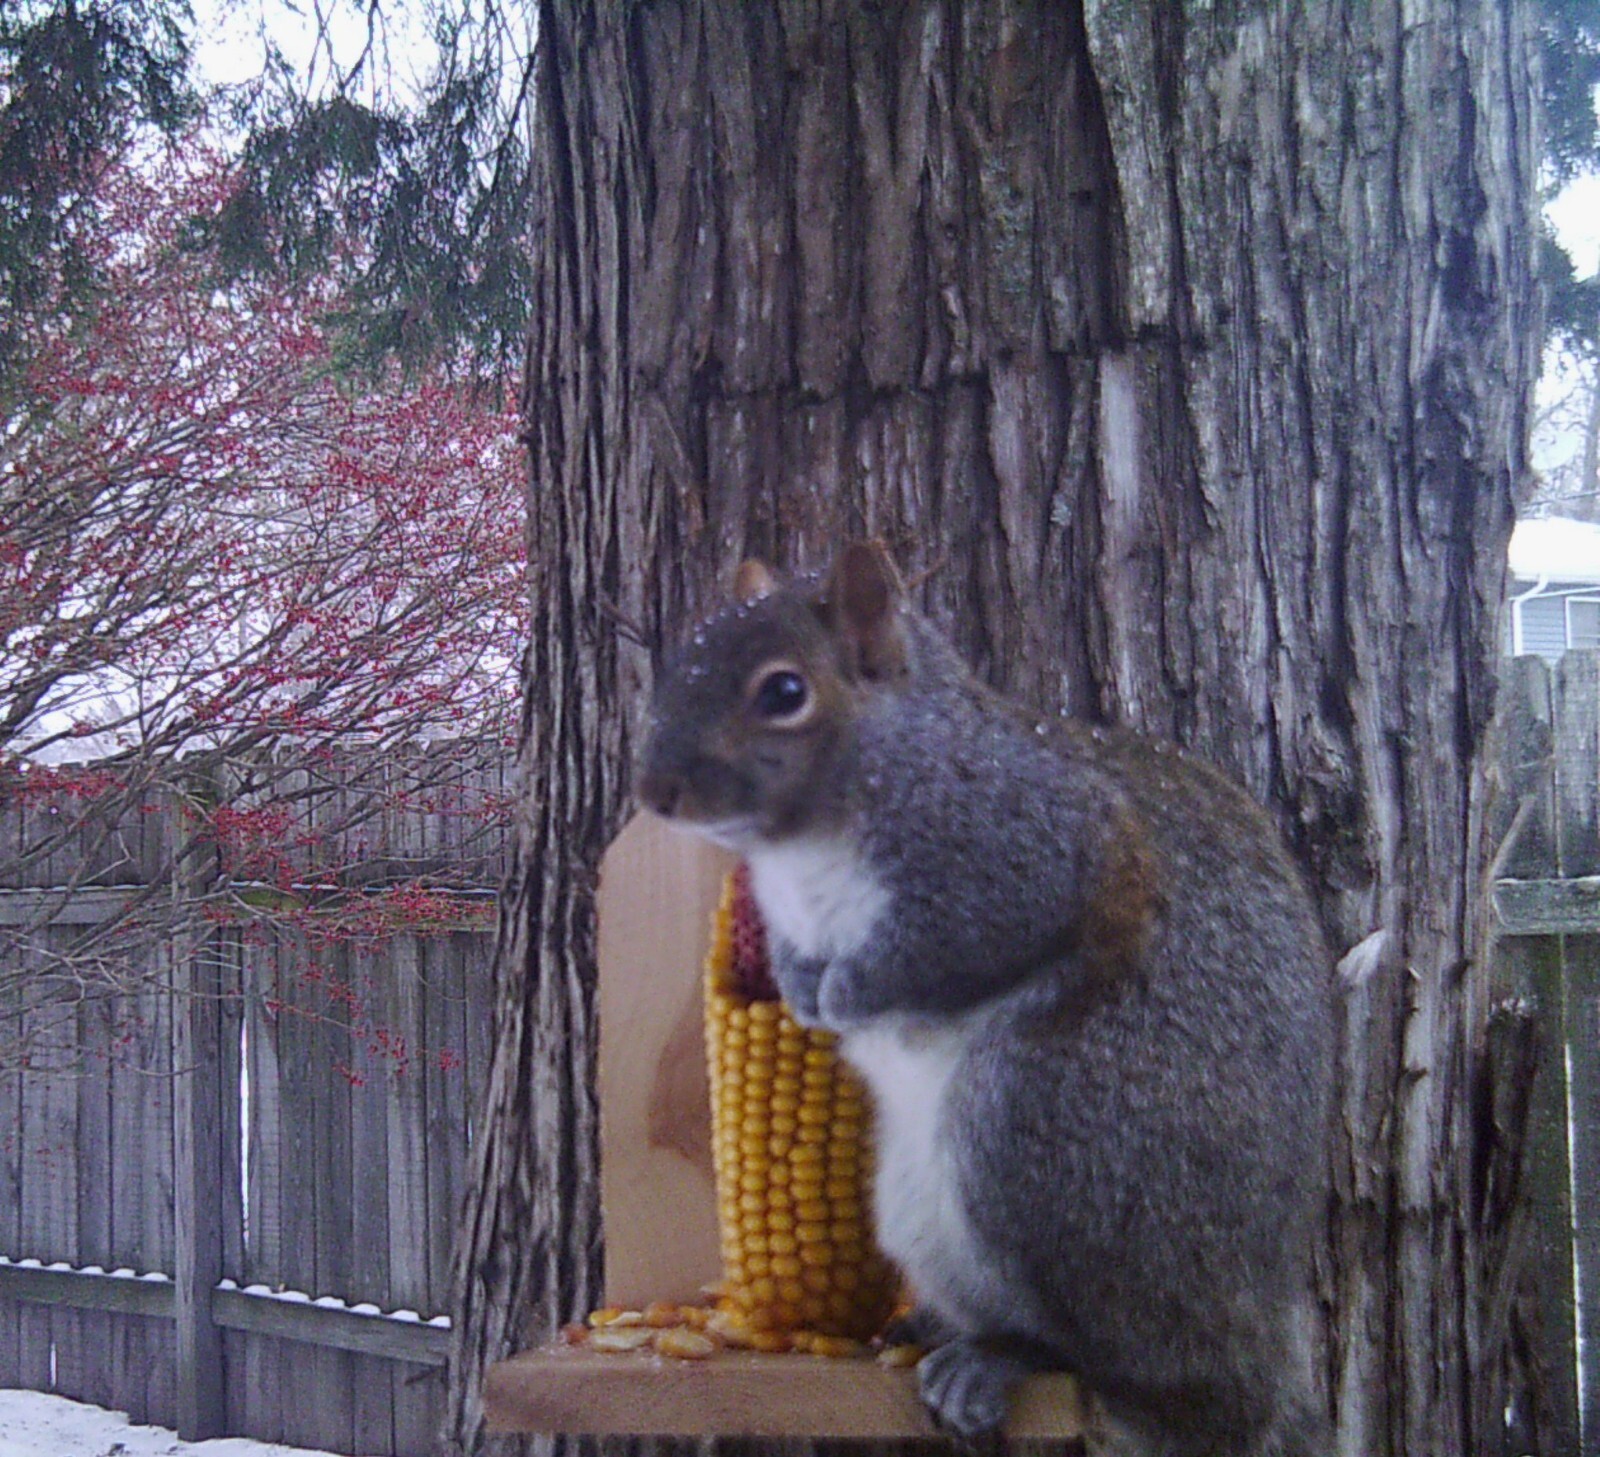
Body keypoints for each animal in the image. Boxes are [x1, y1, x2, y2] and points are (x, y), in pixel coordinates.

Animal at [637, 542, 1334, 1456]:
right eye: (682, 659)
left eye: (784, 692)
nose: (655, 789)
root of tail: (1253, 1387)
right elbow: (795, 957)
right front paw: (800, 987)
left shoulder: (1019, 854)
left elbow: (946, 947)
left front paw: (849, 989)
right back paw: (937, 1328)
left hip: (1041, 1135)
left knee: (1108, 1362)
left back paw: (1001, 1359)